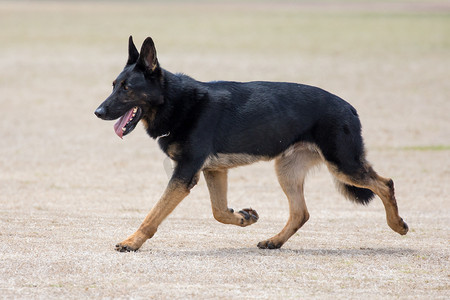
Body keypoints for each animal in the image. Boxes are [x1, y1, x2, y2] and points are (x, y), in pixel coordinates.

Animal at [95, 36, 408, 252]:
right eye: (113, 85)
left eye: (127, 88)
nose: (97, 112)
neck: (176, 101)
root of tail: (349, 108)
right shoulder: (214, 171)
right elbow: (219, 212)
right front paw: (245, 217)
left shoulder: (185, 174)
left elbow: (154, 214)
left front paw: (132, 241)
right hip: (287, 171)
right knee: (301, 213)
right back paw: (274, 241)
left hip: (343, 165)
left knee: (386, 183)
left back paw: (397, 225)